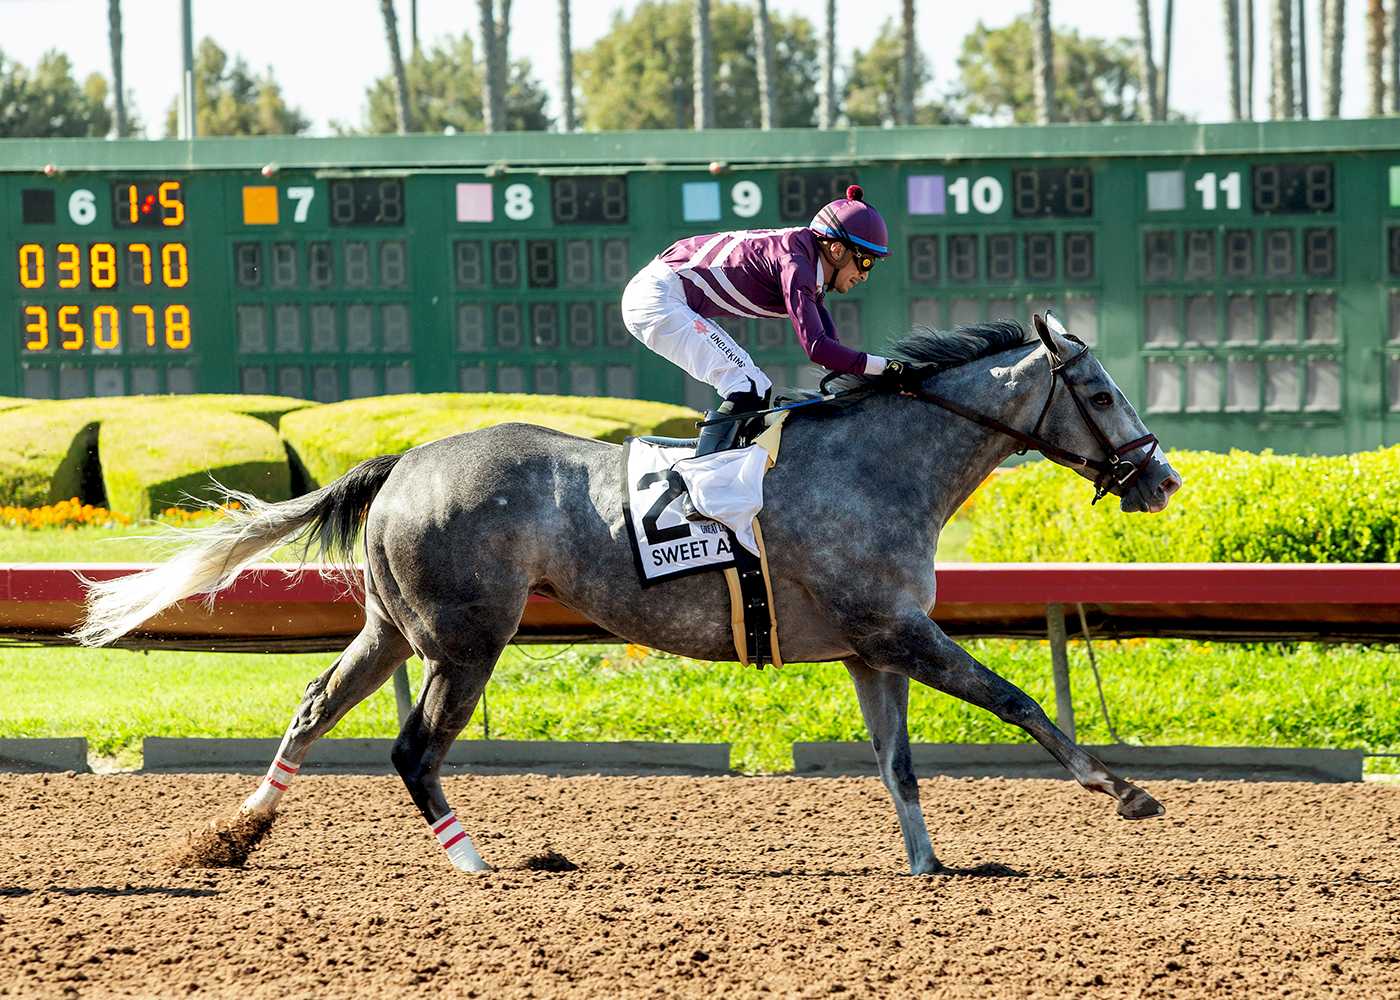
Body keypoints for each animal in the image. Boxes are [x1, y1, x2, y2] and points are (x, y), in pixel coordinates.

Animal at [75, 313, 1182, 876]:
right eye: (1098, 391)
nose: (1161, 478)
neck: (878, 466)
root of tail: (401, 465)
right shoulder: (899, 629)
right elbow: (1016, 700)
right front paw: (1124, 791)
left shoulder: (872, 648)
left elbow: (897, 763)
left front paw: (928, 864)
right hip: (466, 640)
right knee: (412, 749)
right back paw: (477, 864)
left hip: (391, 628)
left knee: (312, 708)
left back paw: (236, 833)